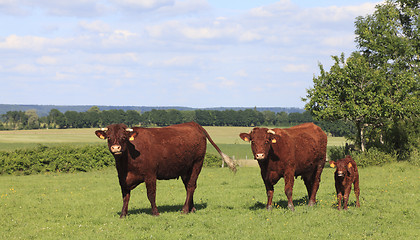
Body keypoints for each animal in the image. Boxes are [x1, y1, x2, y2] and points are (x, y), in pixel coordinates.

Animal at [94, 122, 236, 218]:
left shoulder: (150, 175)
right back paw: (192, 208)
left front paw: (155, 213)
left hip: (197, 163)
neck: (127, 164)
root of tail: (194, 124)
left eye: (124, 137)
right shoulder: (122, 178)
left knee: (191, 186)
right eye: (108, 137)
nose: (116, 148)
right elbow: (125, 196)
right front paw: (123, 214)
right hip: (186, 169)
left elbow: (151, 194)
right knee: (190, 186)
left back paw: (185, 210)